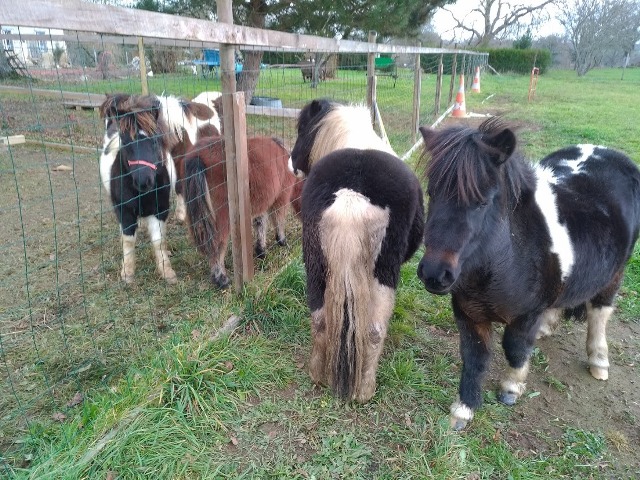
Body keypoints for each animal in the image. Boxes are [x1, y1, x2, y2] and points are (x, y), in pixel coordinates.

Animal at [100, 92, 180, 284]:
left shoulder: (160, 209)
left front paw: (167, 271)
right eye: (125, 141)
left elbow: (159, 240)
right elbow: (128, 240)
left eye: (155, 140)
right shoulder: (125, 211)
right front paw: (127, 272)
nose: (144, 181)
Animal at [180, 135, 300, 288]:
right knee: (216, 244)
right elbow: (278, 220)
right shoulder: (280, 198)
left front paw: (261, 251)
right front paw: (282, 241)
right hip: (222, 218)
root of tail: (198, 156)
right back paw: (221, 279)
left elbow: (260, 224)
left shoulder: (261, 203)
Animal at [290, 99, 424, 404]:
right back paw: (364, 390)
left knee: (321, 320)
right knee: (374, 330)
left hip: (316, 266)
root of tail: (352, 194)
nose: (292, 163)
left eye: (301, 128)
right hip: (384, 271)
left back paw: (318, 376)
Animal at [416, 117, 640, 432]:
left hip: (615, 274)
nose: (435, 274)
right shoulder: (469, 315)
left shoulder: (525, 316)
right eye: (432, 193)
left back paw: (598, 361)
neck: (503, 263)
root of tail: (607, 152)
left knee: (600, 312)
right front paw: (463, 409)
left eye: (483, 202)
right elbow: (474, 358)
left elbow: (515, 348)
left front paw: (511, 388)